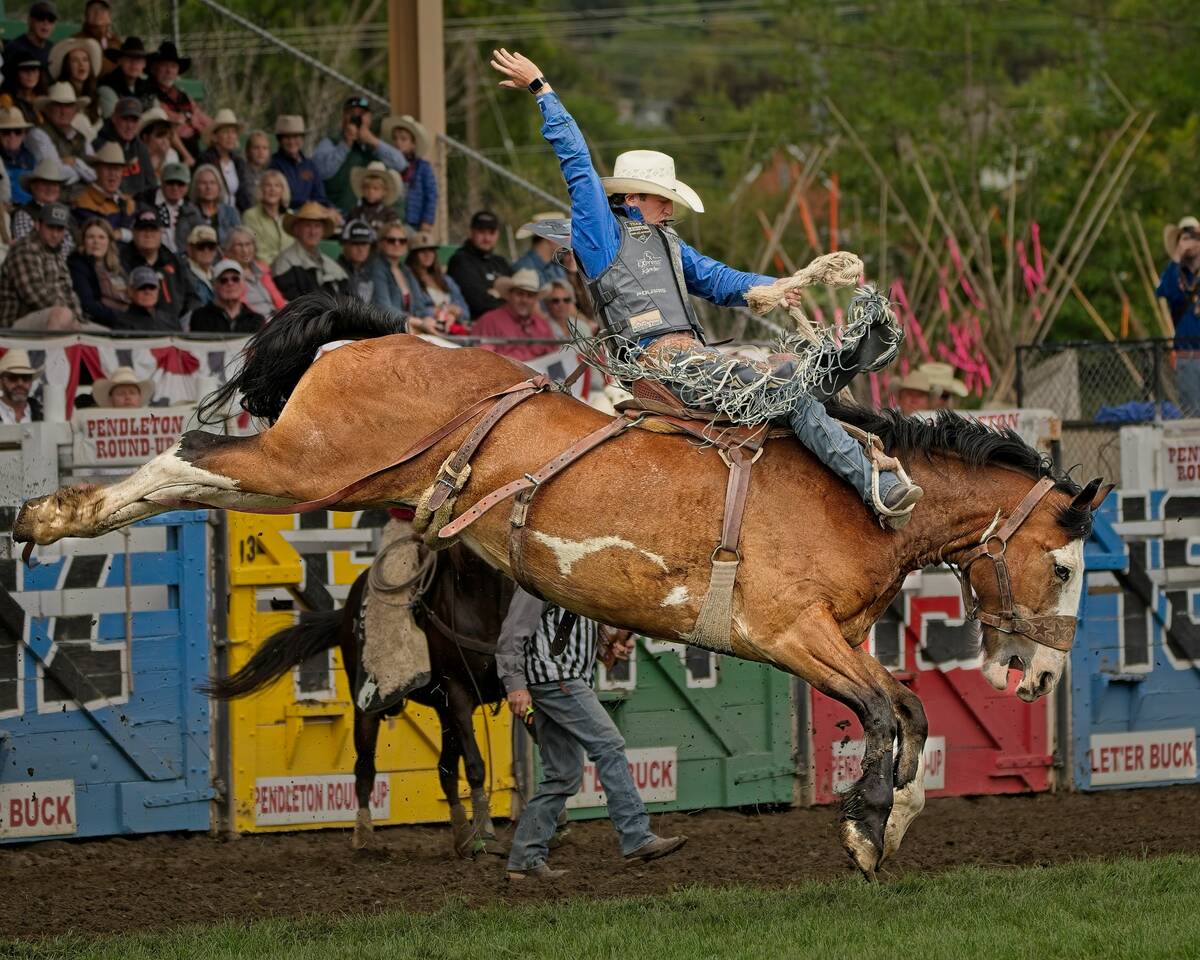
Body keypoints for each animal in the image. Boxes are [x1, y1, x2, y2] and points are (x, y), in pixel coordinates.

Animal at [206, 540, 516, 854]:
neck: (481, 596)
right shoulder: (458, 693)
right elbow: (475, 764)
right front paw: (487, 832)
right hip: (368, 708)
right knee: (365, 768)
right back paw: (365, 835)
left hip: (443, 712)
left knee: (446, 770)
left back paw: (463, 836)